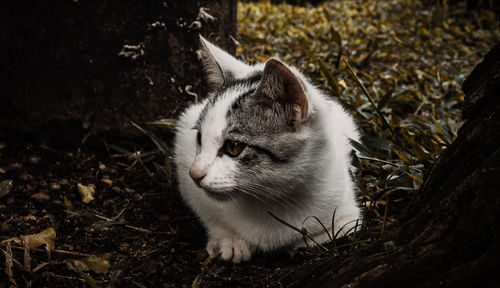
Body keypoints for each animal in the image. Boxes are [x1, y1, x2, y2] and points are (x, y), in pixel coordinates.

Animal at [174, 36, 362, 264]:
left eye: (234, 147)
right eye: (199, 138)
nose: (195, 174)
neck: (270, 196)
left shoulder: (345, 207)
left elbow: (336, 230)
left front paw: (309, 240)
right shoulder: (184, 151)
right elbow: (206, 211)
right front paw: (229, 238)